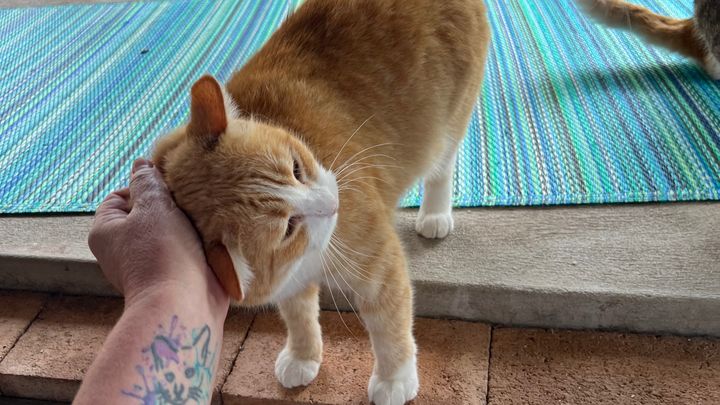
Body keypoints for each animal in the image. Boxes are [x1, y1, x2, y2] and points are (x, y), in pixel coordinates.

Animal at [152, 0, 490, 403]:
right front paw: (303, 357)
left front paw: (394, 379)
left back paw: (435, 214)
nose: (333, 203)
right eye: (288, 229)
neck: (308, 258)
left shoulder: (379, 266)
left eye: (297, 168)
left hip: (449, 123)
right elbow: (299, 318)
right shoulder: (291, 286)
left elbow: (389, 325)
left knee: (442, 166)